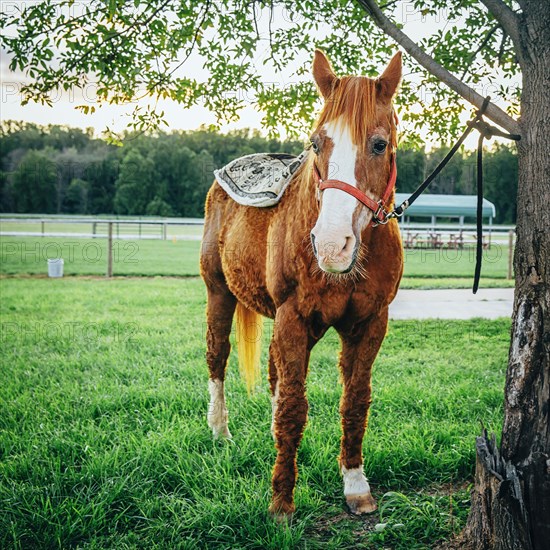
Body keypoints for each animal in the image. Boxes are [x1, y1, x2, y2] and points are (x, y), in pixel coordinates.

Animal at [201, 49, 404, 520]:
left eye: (379, 144)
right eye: (316, 143)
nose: (330, 244)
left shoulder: (370, 324)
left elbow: (354, 401)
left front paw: (355, 485)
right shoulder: (293, 318)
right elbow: (295, 409)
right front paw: (281, 503)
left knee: (274, 374)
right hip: (219, 294)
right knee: (218, 357)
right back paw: (220, 431)